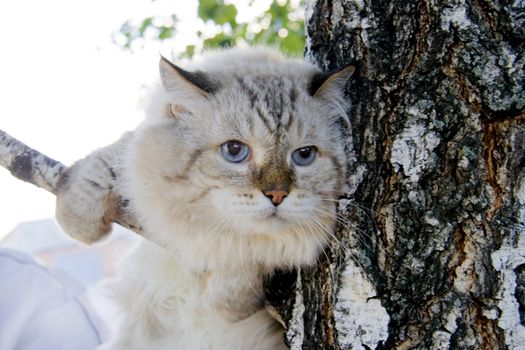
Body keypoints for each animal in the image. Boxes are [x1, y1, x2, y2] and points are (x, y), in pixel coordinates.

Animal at [55, 47, 354, 350]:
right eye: (234, 150)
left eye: (304, 155)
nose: (277, 195)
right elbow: (109, 160)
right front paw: (78, 220)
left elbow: (250, 263)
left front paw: (223, 302)